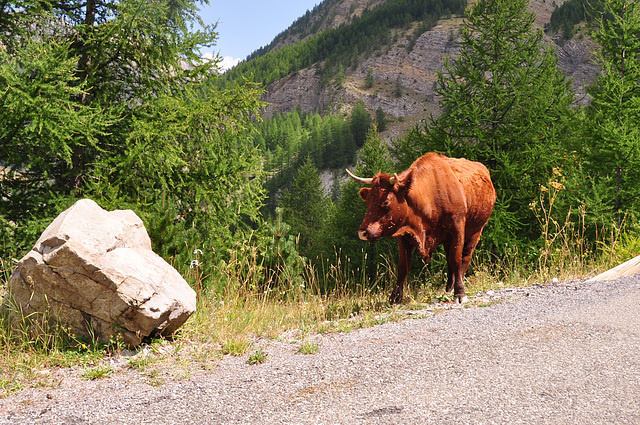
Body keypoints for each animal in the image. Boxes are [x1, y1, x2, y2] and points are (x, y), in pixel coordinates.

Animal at [348, 151, 498, 304]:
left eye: (385, 202)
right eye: (367, 202)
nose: (362, 232)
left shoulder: (457, 231)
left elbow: (456, 260)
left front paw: (460, 293)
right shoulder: (404, 237)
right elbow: (403, 267)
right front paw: (395, 298)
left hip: (476, 232)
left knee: (465, 258)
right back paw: (448, 288)